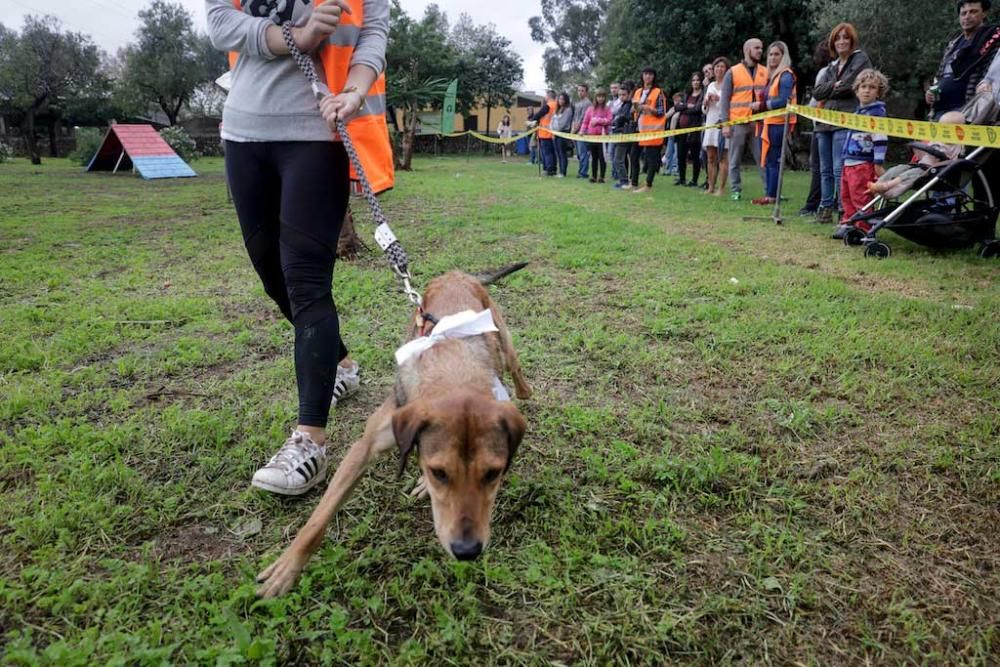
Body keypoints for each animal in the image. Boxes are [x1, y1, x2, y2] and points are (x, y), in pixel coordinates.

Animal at [254, 268, 532, 596]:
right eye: (439, 472)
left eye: (493, 474)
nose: (467, 551)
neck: (453, 367)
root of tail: (456, 274)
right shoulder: (364, 447)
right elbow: (317, 519)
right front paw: (286, 567)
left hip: (501, 334)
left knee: (516, 369)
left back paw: (524, 389)